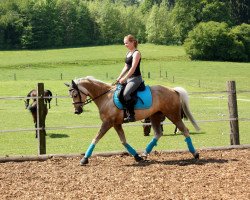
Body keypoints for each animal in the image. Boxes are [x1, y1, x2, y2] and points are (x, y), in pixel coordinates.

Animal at [65, 76, 200, 166]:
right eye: (71, 95)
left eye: (75, 94)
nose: (77, 111)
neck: (106, 97)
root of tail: (173, 90)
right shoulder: (116, 123)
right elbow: (123, 141)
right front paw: (137, 157)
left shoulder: (108, 123)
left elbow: (96, 138)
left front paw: (84, 159)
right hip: (155, 116)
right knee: (158, 133)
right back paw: (144, 154)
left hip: (173, 115)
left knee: (185, 131)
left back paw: (195, 154)